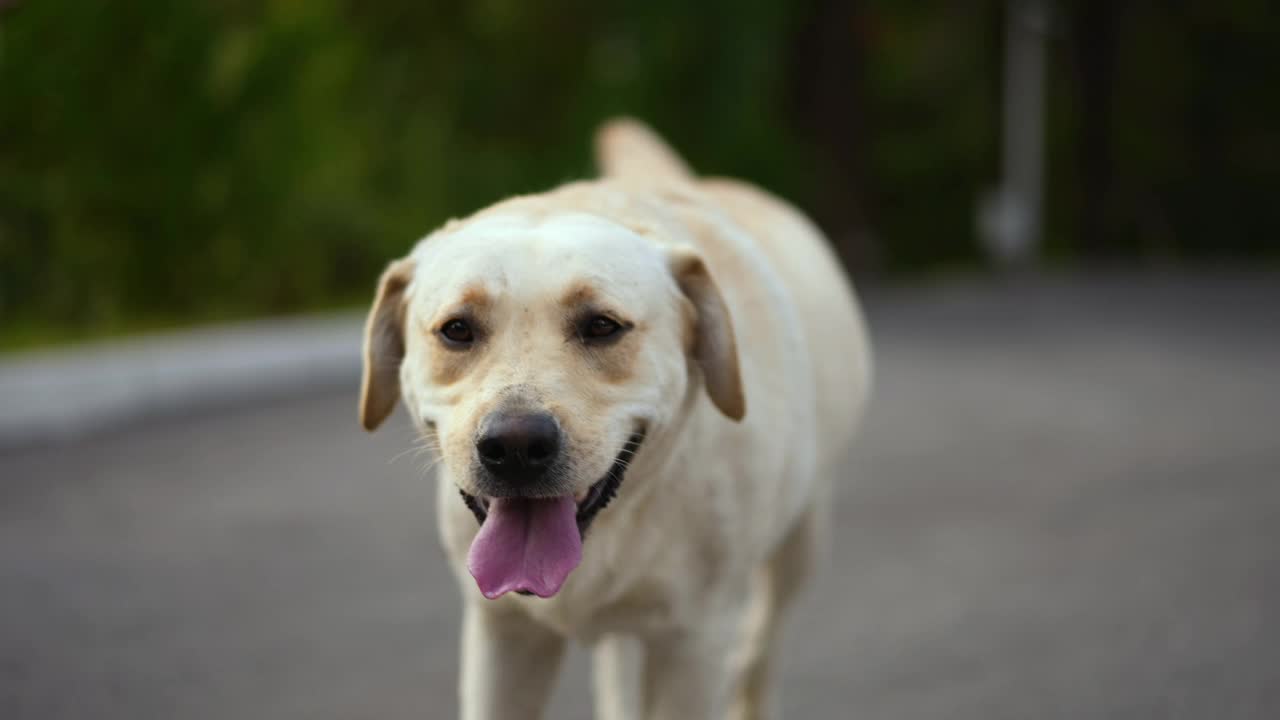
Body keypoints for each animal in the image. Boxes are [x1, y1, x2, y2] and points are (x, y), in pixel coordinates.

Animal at [366, 120, 875, 712]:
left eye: (603, 326)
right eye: (457, 329)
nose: (515, 446)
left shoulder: (695, 645)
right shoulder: (503, 634)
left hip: (802, 541)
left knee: (759, 658)